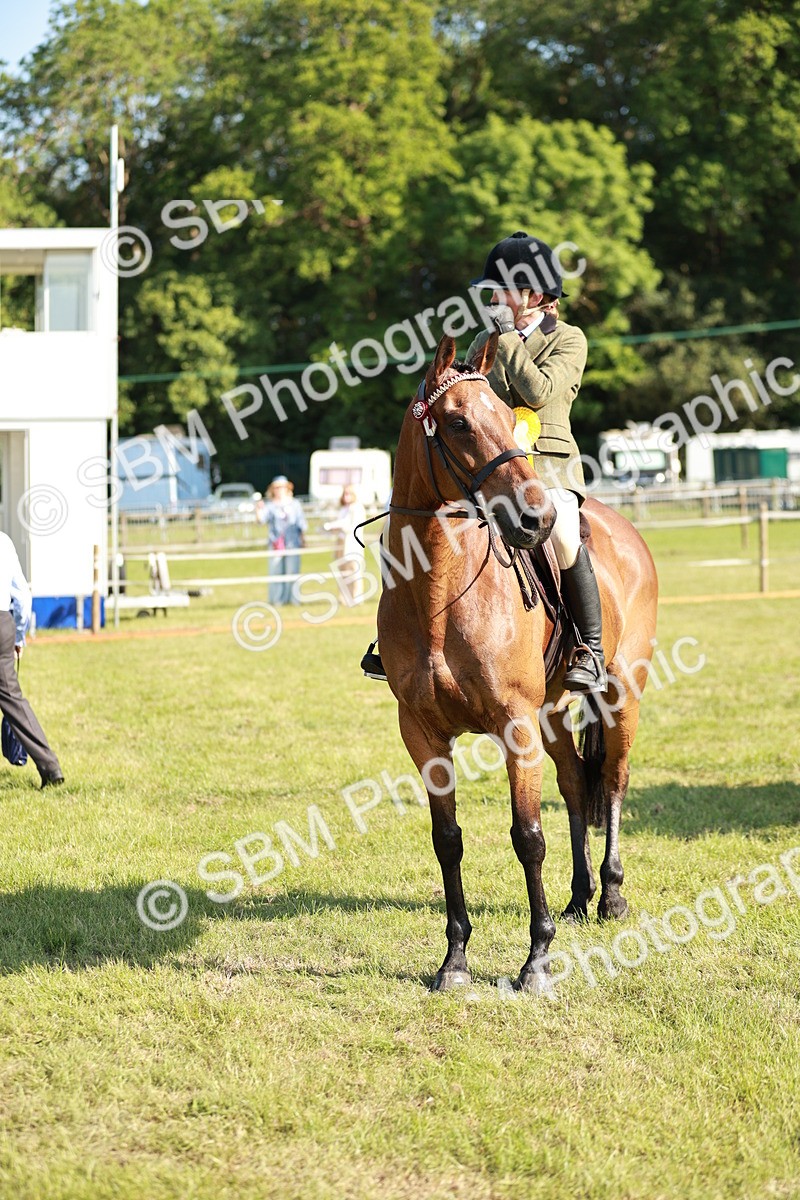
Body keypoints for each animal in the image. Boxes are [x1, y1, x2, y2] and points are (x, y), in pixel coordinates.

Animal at [377, 332, 659, 992]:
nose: (539, 521)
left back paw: (610, 896)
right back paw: (579, 898)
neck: (436, 592)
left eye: (510, 418)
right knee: (576, 784)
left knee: (612, 782)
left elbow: (527, 837)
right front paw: (454, 960)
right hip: (552, 715)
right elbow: (447, 840)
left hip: (620, 696)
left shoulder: (514, 725)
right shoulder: (422, 734)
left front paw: (537, 962)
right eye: (457, 423)